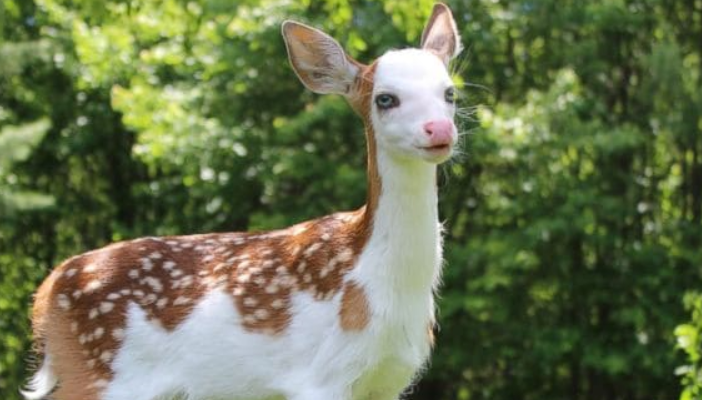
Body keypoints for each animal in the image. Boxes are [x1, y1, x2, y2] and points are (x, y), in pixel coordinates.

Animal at [23, 3, 462, 400]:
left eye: (449, 92)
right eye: (385, 99)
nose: (439, 129)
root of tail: (46, 293)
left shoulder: (384, 381)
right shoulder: (322, 376)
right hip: (98, 373)